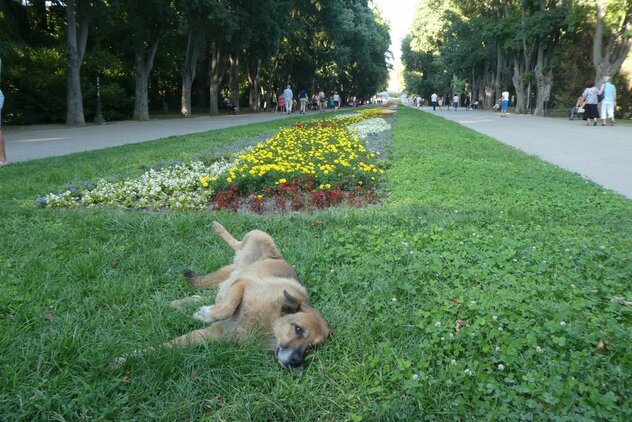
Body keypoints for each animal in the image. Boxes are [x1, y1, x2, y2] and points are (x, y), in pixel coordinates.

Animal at [114, 221, 330, 370]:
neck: (267, 323)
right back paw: (217, 228)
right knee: (237, 244)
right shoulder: (242, 285)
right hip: (259, 235)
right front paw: (206, 314)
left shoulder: (211, 334)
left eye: (313, 347)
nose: (297, 362)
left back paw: (178, 303)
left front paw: (128, 358)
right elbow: (227, 307)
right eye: (298, 329)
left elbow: (166, 346)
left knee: (208, 292)